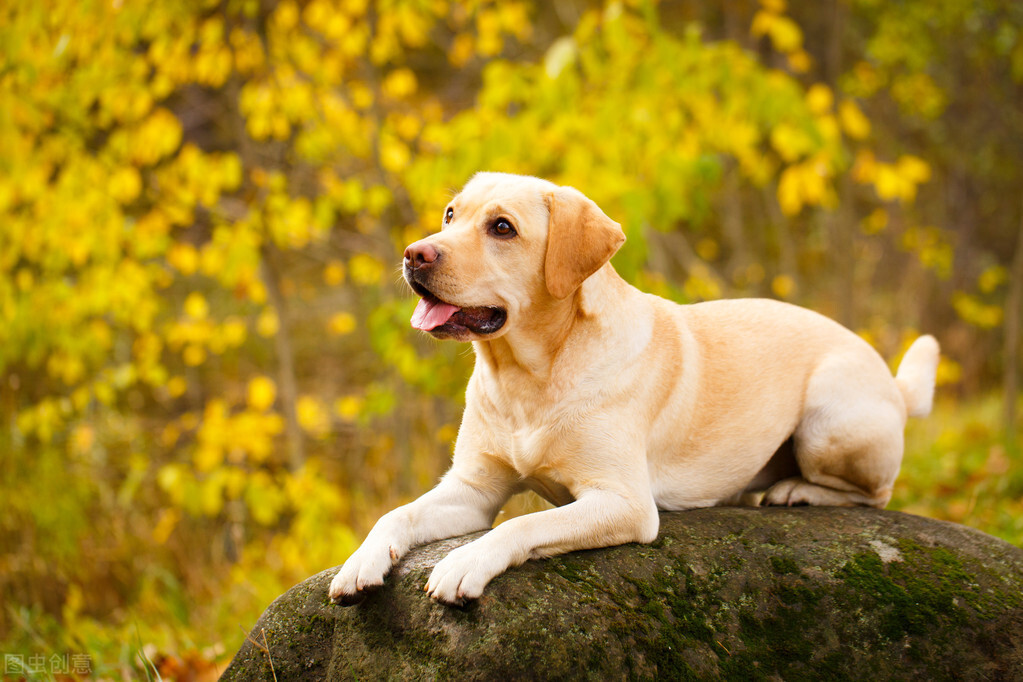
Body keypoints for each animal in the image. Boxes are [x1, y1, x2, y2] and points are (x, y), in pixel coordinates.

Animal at [331, 173, 937, 605]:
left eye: (502, 228)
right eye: (451, 214)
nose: (414, 253)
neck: (529, 376)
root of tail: (891, 381)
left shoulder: (623, 502)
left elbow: (523, 522)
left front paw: (464, 564)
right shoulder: (472, 489)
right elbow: (397, 514)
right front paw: (360, 561)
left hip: (828, 420)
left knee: (876, 494)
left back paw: (798, 491)